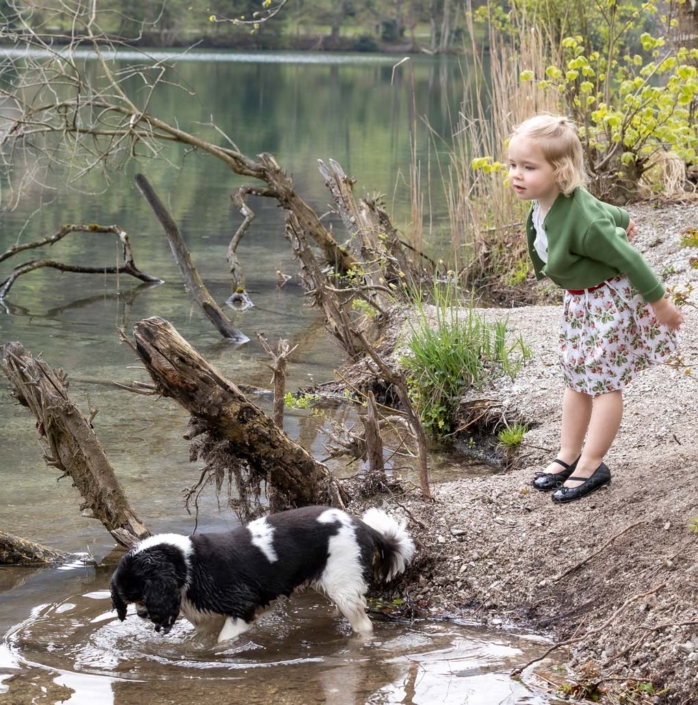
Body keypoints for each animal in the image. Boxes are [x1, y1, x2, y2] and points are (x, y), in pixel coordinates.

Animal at [109, 504, 414, 640]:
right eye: (130, 599)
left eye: (140, 595)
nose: (141, 614)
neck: (187, 562)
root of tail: (363, 526)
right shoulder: (208, 619)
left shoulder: (242, 608)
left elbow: (223, 641)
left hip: (343, 587)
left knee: (364, 625)